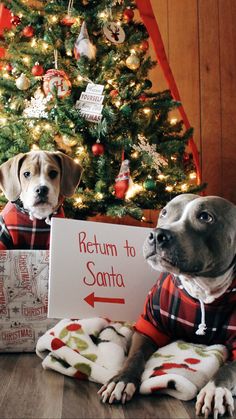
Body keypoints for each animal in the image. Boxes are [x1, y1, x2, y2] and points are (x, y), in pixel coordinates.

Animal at [98, 195, 236, 418]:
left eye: (205, 217)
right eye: (164, 212)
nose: (156, 235)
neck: (201, 291)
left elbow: (228, 368)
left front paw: (215, 390)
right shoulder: (150, 325)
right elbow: (135, 356)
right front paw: (121, 380)